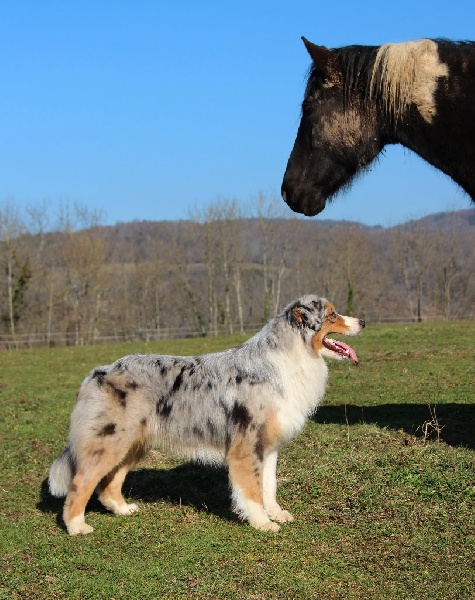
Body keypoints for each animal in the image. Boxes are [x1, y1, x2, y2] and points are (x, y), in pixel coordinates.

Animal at [49, 296, 364, 536]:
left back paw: (123, 509)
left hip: (132, 442)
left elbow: (269, 486)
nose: (363, 322)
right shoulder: (246, 446)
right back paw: (76, 527)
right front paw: (262, 522)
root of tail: (97, 373)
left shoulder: (268, 446)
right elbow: (252, 490)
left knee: (109, 483)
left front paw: (276, 513)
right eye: (333, 314)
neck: (290, 356)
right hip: (110, 440)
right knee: (81, 483)